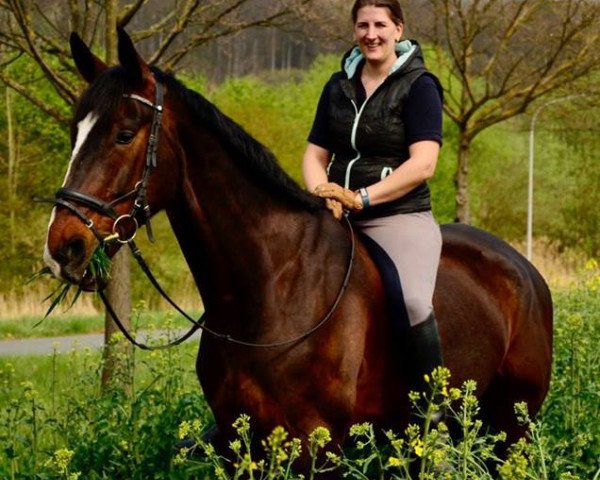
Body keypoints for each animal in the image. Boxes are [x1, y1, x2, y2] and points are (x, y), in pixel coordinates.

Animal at [43, 29, 552, 468]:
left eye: (124, 134)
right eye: (74, 132)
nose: (62, 248)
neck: (271, 287)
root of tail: (524, 269)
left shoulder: (315, 446)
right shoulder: (241, 446)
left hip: (512, 428)